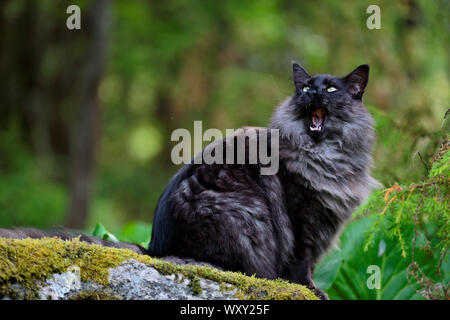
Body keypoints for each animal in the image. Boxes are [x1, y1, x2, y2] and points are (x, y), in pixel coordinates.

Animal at [0, 62, 380, 300]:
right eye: (305, 87)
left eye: (330, 88)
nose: (312, 95)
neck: (327, 157)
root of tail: (155, 249)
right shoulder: (302, 221)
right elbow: (301, 267)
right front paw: (311, 291)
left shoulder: (322, 224)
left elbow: (310, 266)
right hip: (245, 213)